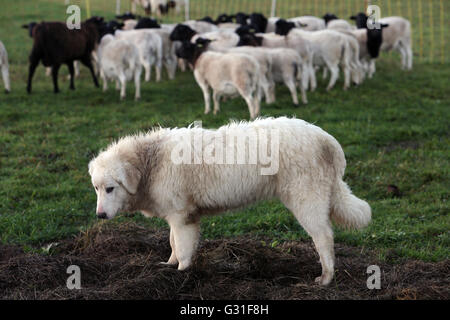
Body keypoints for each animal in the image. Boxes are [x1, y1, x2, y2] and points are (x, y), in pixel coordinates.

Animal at [89, 117, 372, 284]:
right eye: (96, 188)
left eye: (111, 189)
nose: (100, 216)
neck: (151, 161)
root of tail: (327, 140)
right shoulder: (176, 215)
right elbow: (172, 243)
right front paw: (168, 265)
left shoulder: (182, 217)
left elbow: (183, 248)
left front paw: (181, 274)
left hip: (306, 200)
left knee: (324, 237)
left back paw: (326, 277)